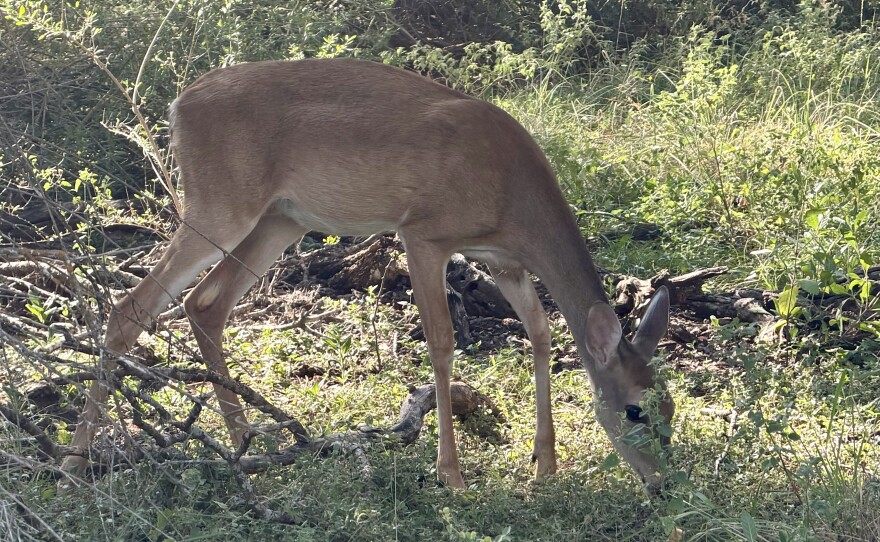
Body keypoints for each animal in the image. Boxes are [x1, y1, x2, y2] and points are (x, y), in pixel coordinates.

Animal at [60, 58, 674, 491]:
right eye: (635, 410)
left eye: (669, 406)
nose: (663, 485)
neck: (511, 196)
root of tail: (179, 104)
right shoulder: (424, 233)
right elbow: (442, 342)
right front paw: (451, 474)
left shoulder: (503, 258)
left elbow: (542, 332)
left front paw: (545, 464)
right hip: (220, 202)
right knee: (132, 306)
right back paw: (72, 464)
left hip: (280, 219)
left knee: (205, 304)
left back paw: (244, 443)